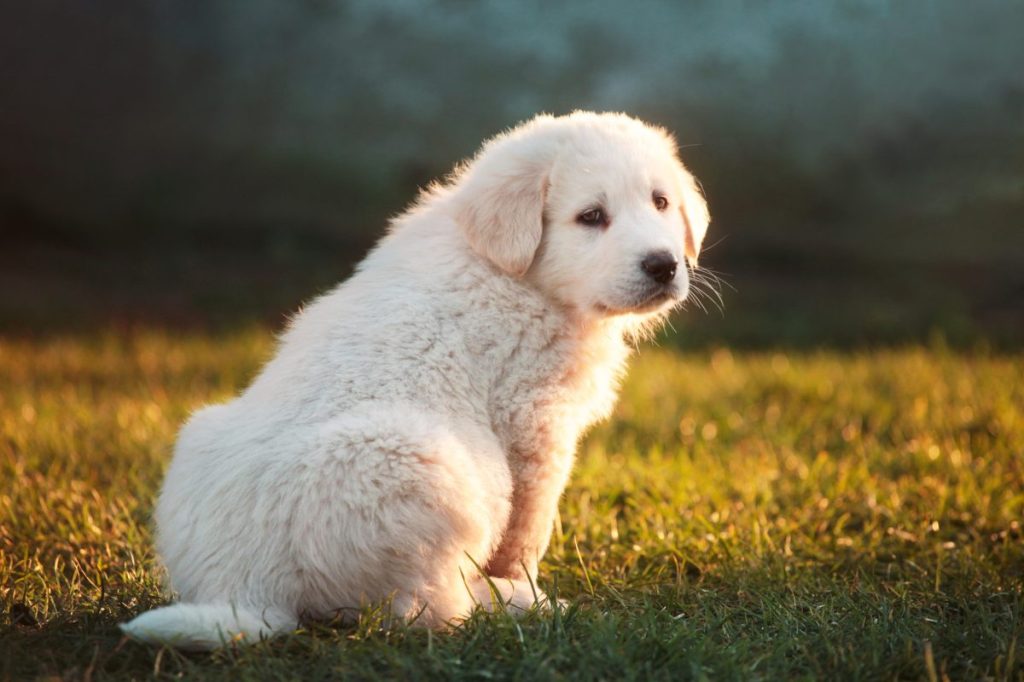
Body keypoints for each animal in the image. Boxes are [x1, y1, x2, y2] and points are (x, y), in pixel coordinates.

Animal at [119, 111, 708, 647]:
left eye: (660, 202)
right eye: (591, 216)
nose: (663, 265)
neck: (519, 275)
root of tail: (246, 590)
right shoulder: (533, 425)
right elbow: (527, 529)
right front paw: (524, 584)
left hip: (203, 431)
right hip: (427, 464)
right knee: (422, 613)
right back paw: (507, 604)